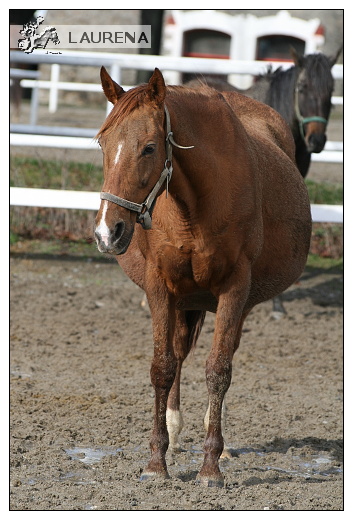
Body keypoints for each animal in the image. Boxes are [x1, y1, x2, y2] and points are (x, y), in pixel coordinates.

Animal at [93, 66, 310, 488]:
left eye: (149, 148)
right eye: (102, 143)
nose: (108, 232)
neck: (193, 207)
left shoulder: (235, 290)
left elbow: (218, 370)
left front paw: (210, 467)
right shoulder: (160, 288)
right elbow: (162, 367)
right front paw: (155, 463)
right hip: (184, 300)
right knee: (178, 356)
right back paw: (174, 432)